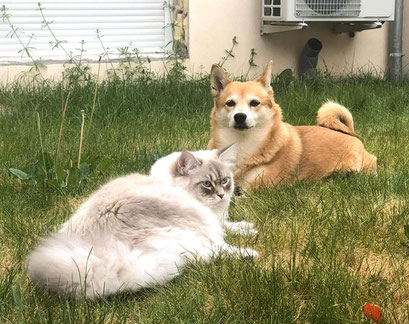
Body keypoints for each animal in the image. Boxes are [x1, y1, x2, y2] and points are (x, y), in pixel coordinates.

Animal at [27, 146, 258, 298]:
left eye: (225, 181)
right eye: (207, 184)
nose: (222, 195)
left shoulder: (215, 219)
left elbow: (231, 225)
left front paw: (248, 227)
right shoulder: (205, 222)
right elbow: (223, 237)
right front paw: (249, 236)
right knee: (213, 253)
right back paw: (249, 254)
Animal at [207, 61, 376, 190]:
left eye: (254, 103)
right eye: (230, 103)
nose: (240, 116)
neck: (241, 145)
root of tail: (348, 133)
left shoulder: (256, 190)